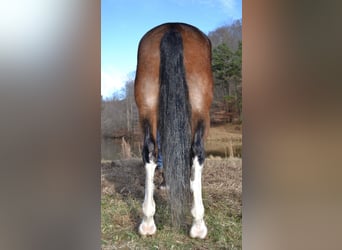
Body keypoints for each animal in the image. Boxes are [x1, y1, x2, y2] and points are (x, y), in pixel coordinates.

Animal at [134, 23, 212, 238]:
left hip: (147, 106)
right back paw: (198, 224)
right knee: (197, 152)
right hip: (202, 110)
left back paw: (147, 220)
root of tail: (173, 27)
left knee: (150, 151)